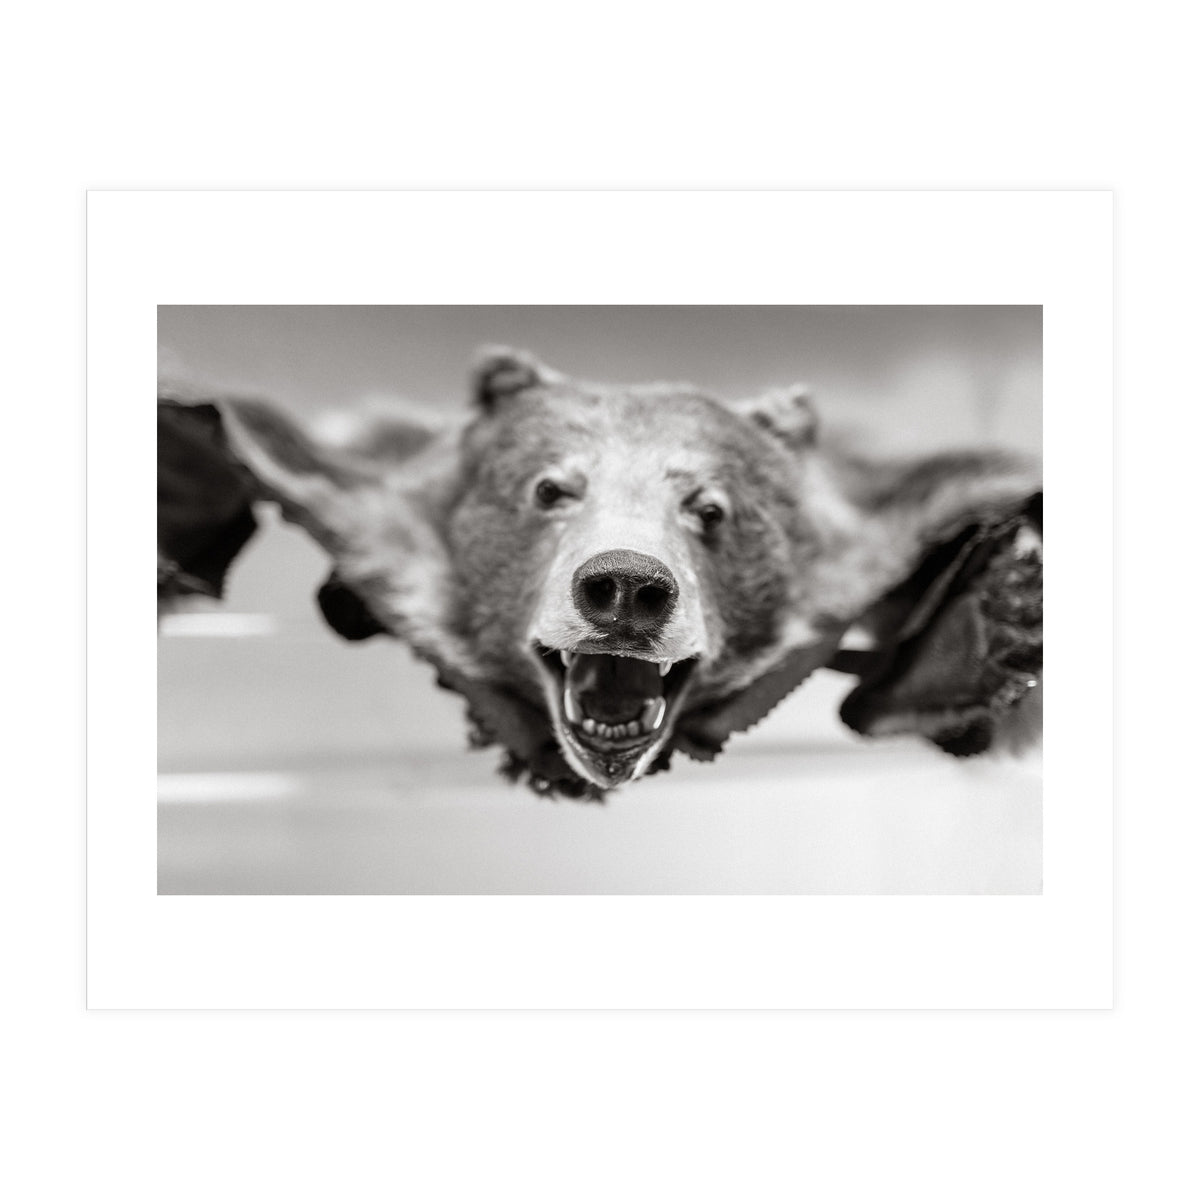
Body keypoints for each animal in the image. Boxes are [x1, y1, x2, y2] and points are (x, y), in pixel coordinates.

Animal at [158, 348, 1043, 799]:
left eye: (710, 507)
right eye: (550, 488)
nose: (625, 586)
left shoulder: (885, 529)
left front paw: (1006, 617)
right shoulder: (355, 505)